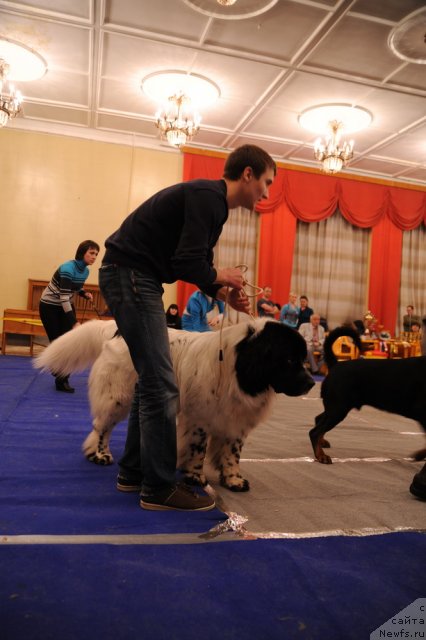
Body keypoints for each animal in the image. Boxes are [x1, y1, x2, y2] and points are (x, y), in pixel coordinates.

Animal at [34, 318, 312, 490]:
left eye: (302, 359)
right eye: (289, 360)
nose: (311, 382)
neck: (239, 363)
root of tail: (117, 330)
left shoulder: (237, 420)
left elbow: (232, 453)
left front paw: (233, 479)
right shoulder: (200, 417)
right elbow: (198, 449)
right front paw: (196, 476)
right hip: (118, 396)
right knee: (102, 426)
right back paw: (100, 454)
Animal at [310, 330, 426, 464]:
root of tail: (336, 365)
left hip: (336, 406)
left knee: (318, 419)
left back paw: (322, 443)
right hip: (338, 408)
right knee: (315, 431)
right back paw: (321, 456)